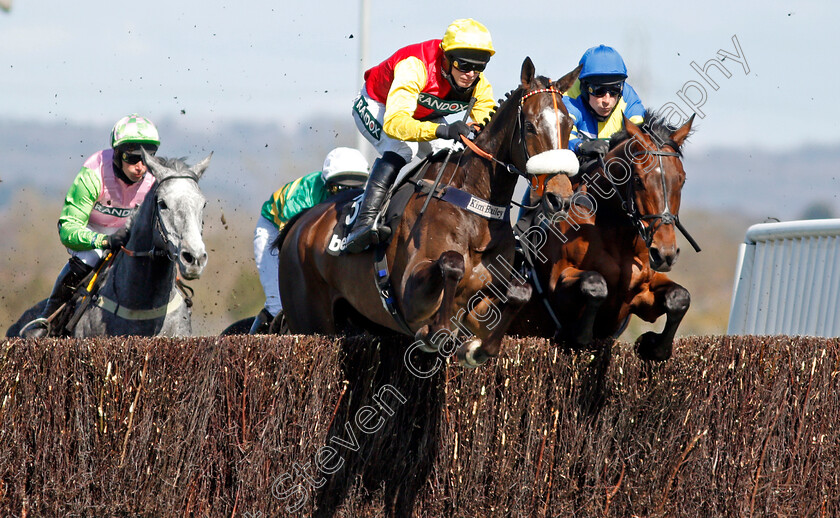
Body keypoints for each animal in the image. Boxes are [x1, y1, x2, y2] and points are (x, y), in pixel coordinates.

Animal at [278, 59, 580, 368]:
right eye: (530, 126)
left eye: (569, 125)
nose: (560, 197)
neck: (475, 210)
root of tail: (301, 223)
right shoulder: (411, 295)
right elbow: (451, 263)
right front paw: (439, 332)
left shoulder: (482, 305)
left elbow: (520, 292)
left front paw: (476, 349)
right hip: (310, 321)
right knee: (395, 150)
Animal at [512, 111, 696, 364]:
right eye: (638, 180)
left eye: (682, 179)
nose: (664, 254)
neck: (616, 230)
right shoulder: (559, 282)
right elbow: (595, 285)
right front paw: (576, 336)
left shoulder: (641, 294)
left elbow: (680, 297)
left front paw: (653, 345)